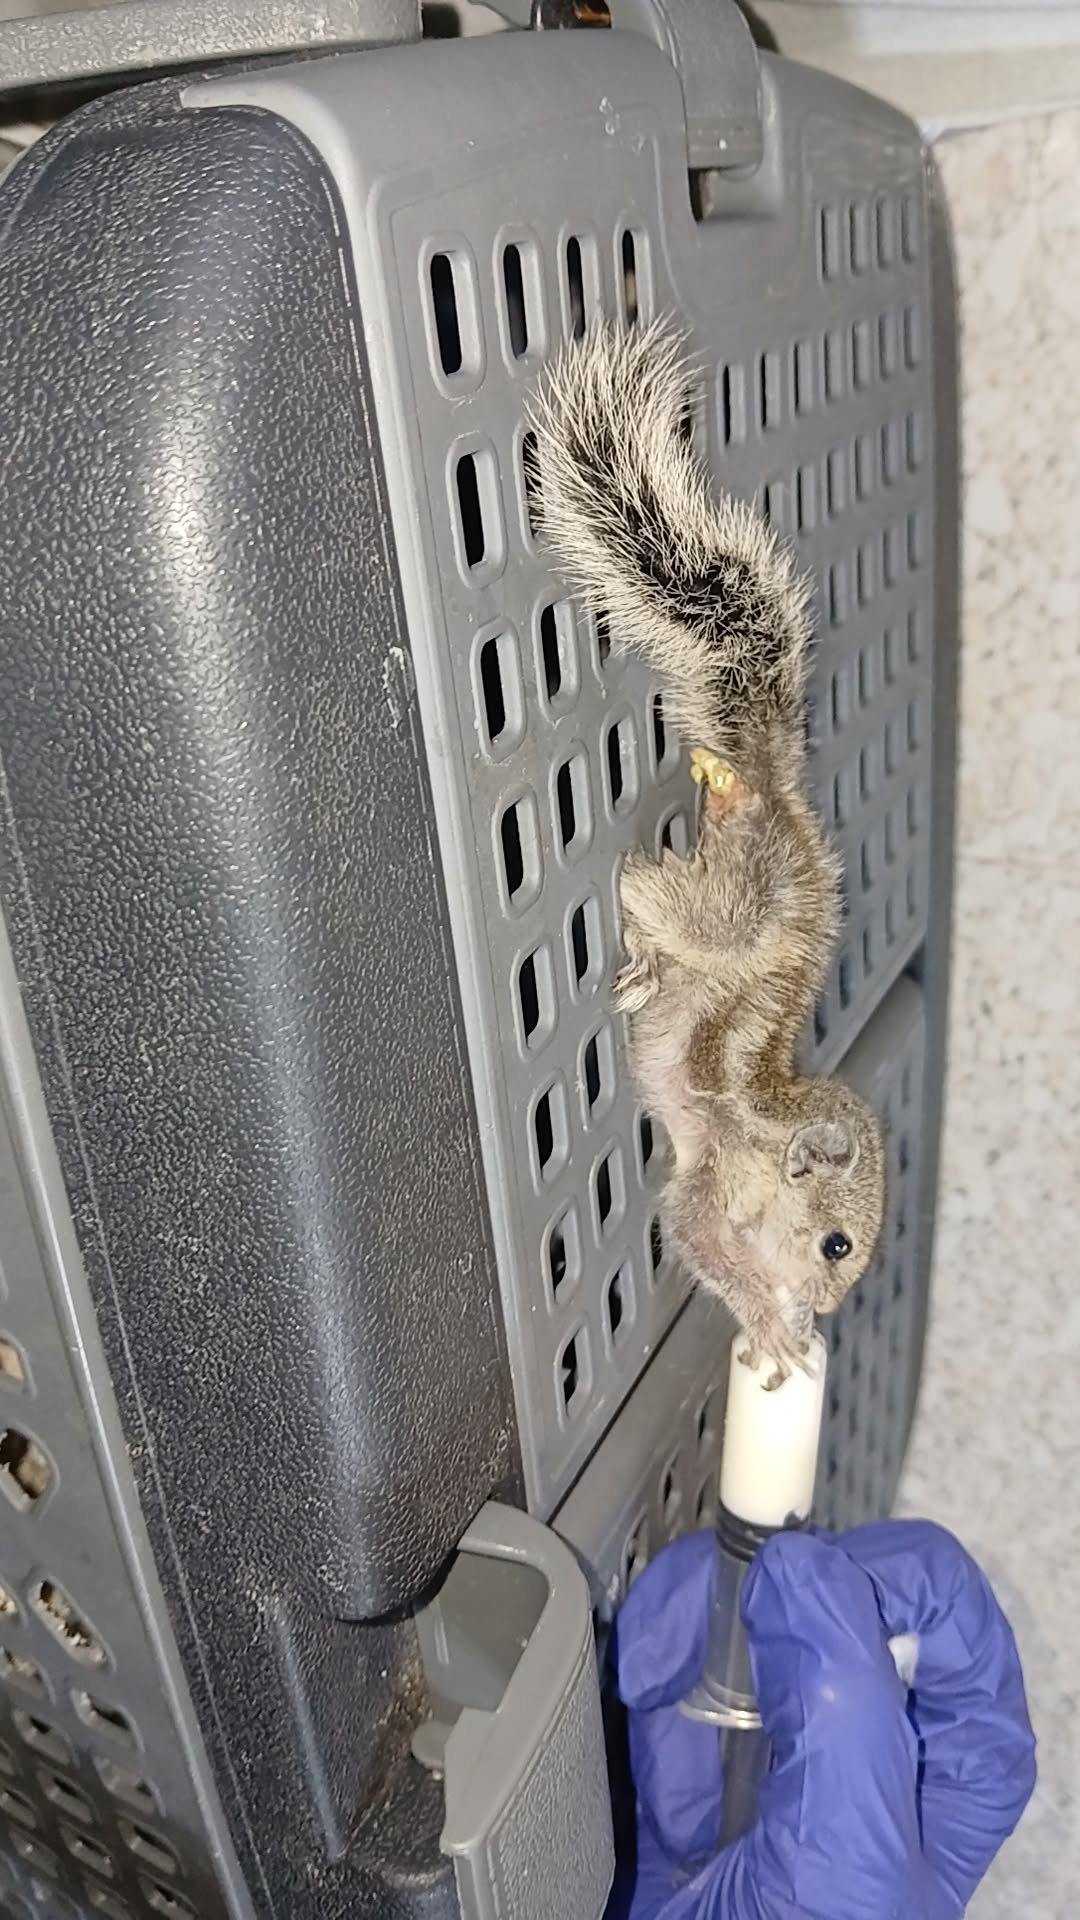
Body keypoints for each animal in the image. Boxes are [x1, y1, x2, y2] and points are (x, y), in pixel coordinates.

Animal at [530, 318, 885, 1386]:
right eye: (836, 1245)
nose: (821, 1310)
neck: (769, 1134)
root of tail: (770, 792)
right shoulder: (707, 1184)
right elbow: (696, 1234)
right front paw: (772, 1327)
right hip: (728, 910)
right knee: (644, 884)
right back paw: (645, 953)